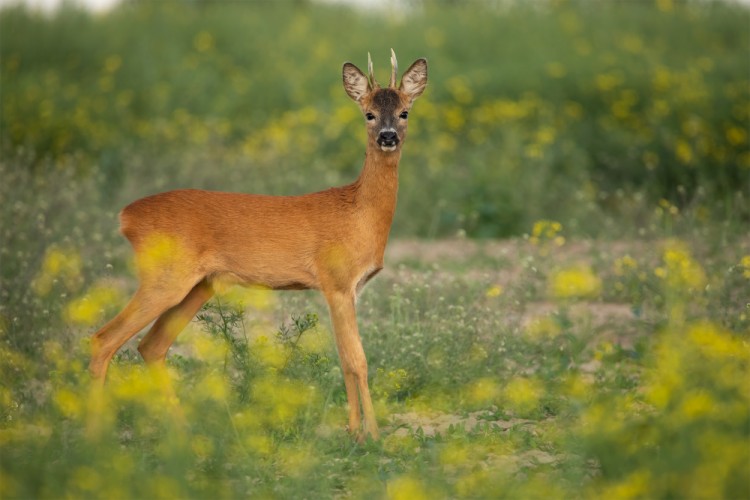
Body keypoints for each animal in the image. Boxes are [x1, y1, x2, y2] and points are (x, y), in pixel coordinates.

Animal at [89, 50, 428, 440]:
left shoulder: (348, 288)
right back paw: (94, 435)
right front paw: (372, 435)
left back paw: (184, 433)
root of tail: (126, 217)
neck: (360, 214)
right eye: (368, 114)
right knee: (104, 339)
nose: (388, 136)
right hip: (165, 277)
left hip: (197, 285)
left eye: (404, 112)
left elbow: (345, 358)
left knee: (151, 345)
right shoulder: (336, 281)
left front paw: (355, 432)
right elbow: (357, 358)